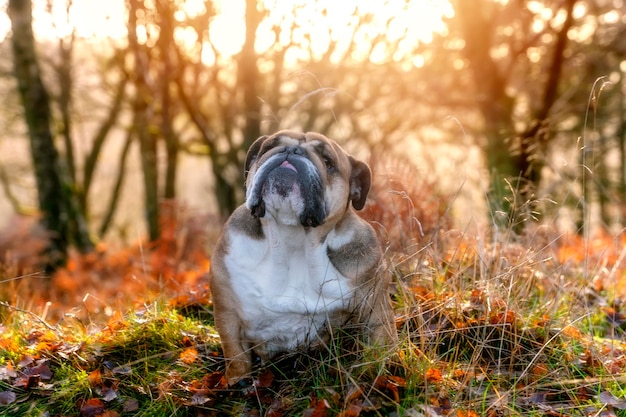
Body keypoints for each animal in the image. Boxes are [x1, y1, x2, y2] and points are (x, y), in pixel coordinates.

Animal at [210, 130, 394, 384]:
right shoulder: (227, 310)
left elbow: (377, 345)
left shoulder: (375, 307)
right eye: (269, 147)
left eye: (327, 161)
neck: (293, 238)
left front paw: (373, 375)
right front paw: (236, 380)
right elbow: (236, 355)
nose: (292, 151)